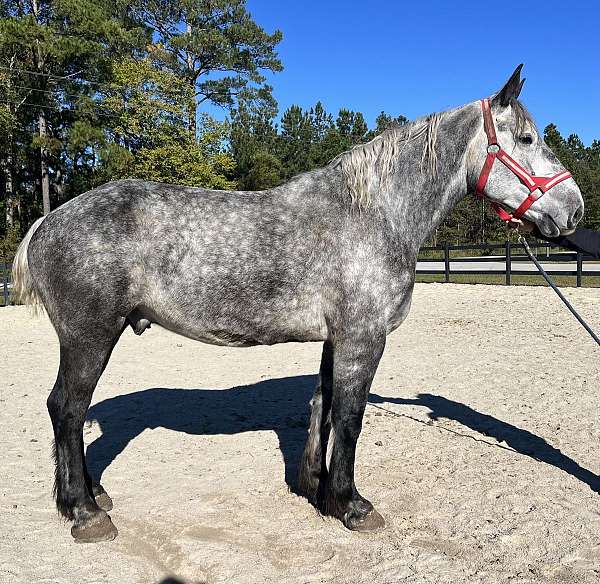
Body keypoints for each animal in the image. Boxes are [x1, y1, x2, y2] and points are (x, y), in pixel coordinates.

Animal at [11, 67, 584, 544]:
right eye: (527, 138)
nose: (574, 210)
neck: (371, 213)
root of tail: (47, 222)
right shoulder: (362, 339)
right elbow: (350, 418)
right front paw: (352, 505)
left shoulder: (337, 339)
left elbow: (323, 407)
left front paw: (317, 489)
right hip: (89, 337)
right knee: (66, 409)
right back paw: (85, 513)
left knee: (69, 414)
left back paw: (89, 497)